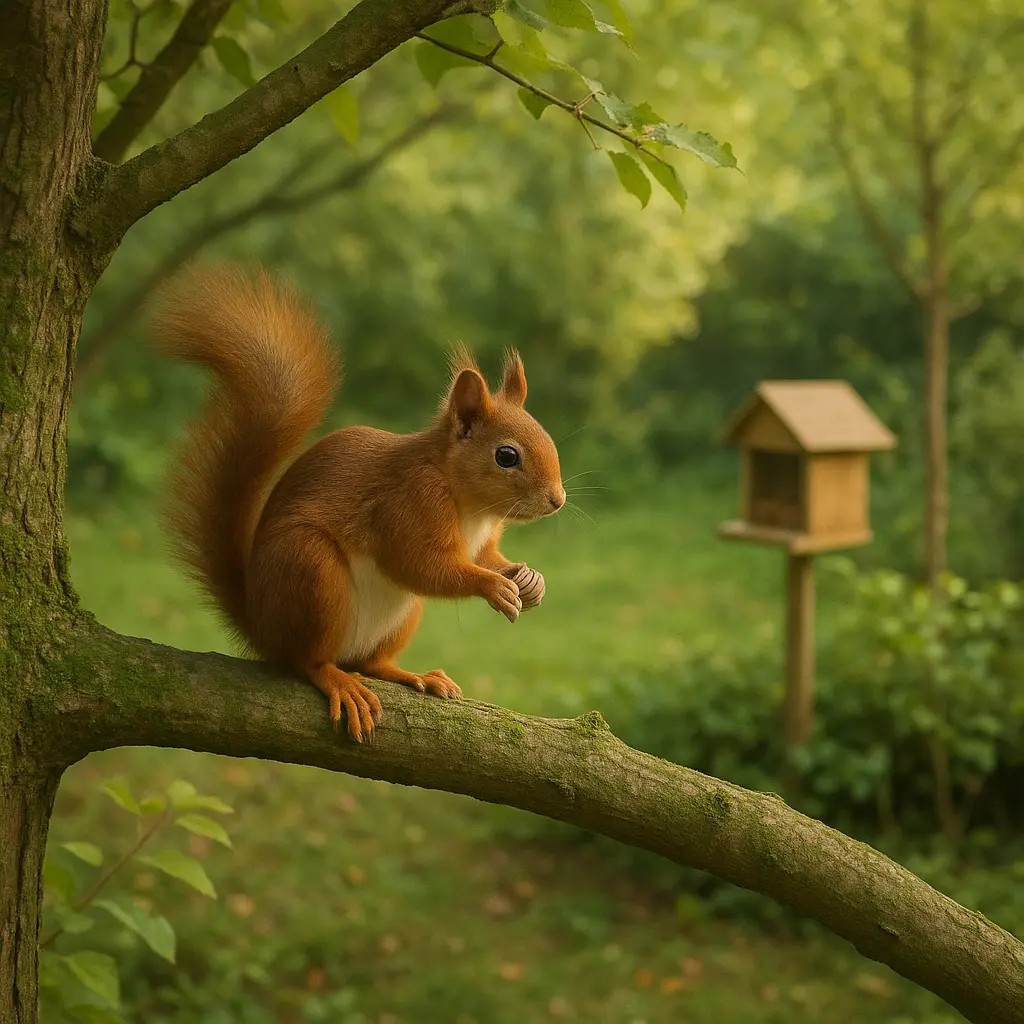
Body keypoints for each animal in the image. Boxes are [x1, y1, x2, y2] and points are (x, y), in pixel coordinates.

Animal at [153, 266, 565, 742]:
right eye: (506, 456)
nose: (558, 500)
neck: (471, 506)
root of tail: (260, 626)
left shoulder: (480, 539)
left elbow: (486, 557)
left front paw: (528, 579)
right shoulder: (407, 503)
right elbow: (420, 564)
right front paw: (493, 586)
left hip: (398, 617)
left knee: (371, 662)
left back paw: (413, 675)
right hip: (309, 570)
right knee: (306, 661)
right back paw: (337, 680)